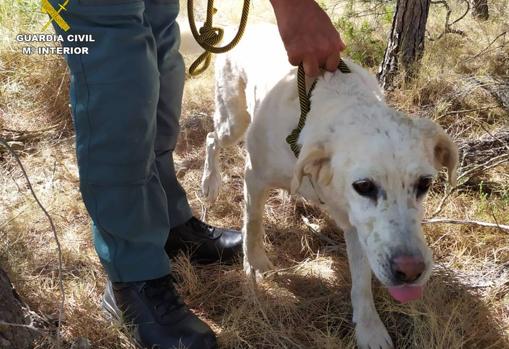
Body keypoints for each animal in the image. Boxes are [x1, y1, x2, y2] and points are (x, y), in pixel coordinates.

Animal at [197, 25, 456, 348]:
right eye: (364, 186)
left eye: (424, 183)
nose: (410, 271)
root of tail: (248, 26)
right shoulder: (254, 177)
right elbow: (253, 224)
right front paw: (255, 265)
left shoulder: (355, 224)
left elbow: (362, 281)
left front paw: (369, 327)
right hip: (233, 122)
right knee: (211, 137)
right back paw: (210, 182)